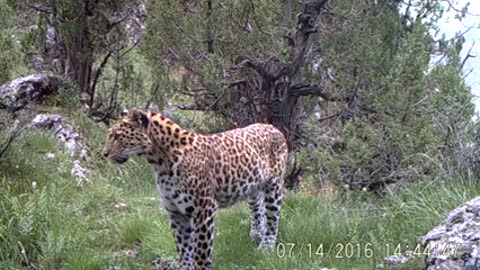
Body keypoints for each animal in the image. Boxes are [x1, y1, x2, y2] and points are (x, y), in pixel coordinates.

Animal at [101, 109, 286, 270]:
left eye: (117, 136)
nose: (104, 154)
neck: (159, 162)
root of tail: (273, 127)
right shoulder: (176, 212)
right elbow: (184, 250)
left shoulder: (204, 210)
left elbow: (200, 252)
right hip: (253, 189)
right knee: (258, 210)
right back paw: (257, 234)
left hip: (274, 187)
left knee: (273, 218)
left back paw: (266, 246)